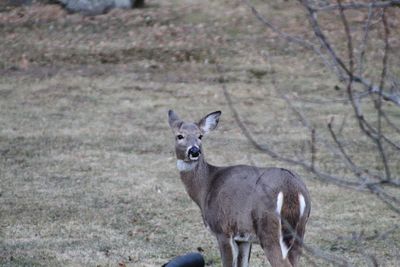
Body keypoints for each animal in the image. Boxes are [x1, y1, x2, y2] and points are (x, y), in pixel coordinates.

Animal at [167, 110, 310, 267]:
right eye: (180, 136)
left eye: (200, 136)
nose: (194, 150)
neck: (206, 187)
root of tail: (291, 188)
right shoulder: (243, 237)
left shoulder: (222, 229)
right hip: (299, 232)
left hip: (268, 229)